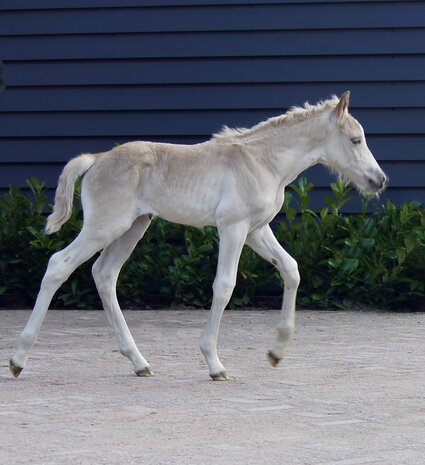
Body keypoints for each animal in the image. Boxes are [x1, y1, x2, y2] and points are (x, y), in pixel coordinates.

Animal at [9, 92, 386, 378]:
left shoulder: (256, 229)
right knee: (59, 265)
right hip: (105, 226)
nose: (379, 180)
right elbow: (225, 285)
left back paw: (139, 362)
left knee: (104, 274)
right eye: (355, 140)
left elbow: (291, 270)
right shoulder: (233, 227)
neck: (263, 161)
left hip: (133, 227)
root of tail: (97, 158)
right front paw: (215, 364)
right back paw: (18, 359)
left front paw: (276, 352)